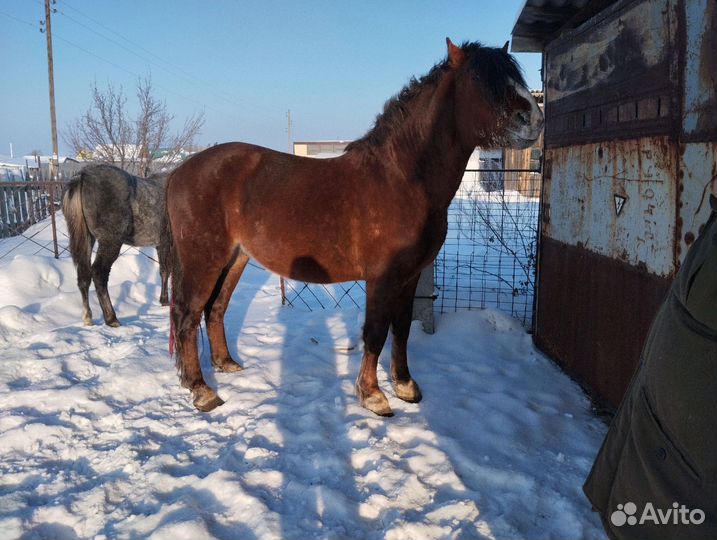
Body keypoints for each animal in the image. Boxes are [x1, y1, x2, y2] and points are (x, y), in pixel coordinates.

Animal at [62, 163, 171, 327]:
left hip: (88, 239)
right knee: (99, 273)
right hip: (110, 242)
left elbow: (164, 271)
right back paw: (111, 318)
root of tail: (83, 175)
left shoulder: (161, 245)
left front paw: (164, 300)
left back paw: (88, 317)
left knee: (83, 276)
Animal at [166, 39, 544, 414]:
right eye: (479, 78)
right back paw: (202, 390)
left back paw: (226, 365)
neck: (403, 180)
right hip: (204, 260)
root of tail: (179, 171)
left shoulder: (410, 276)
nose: (535, 120)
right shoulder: (382, 278)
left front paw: (405, 385)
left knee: (215, 308)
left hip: (236, 258)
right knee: (187, 315)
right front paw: (373, 395)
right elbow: (375, 332)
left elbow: (401, 329)